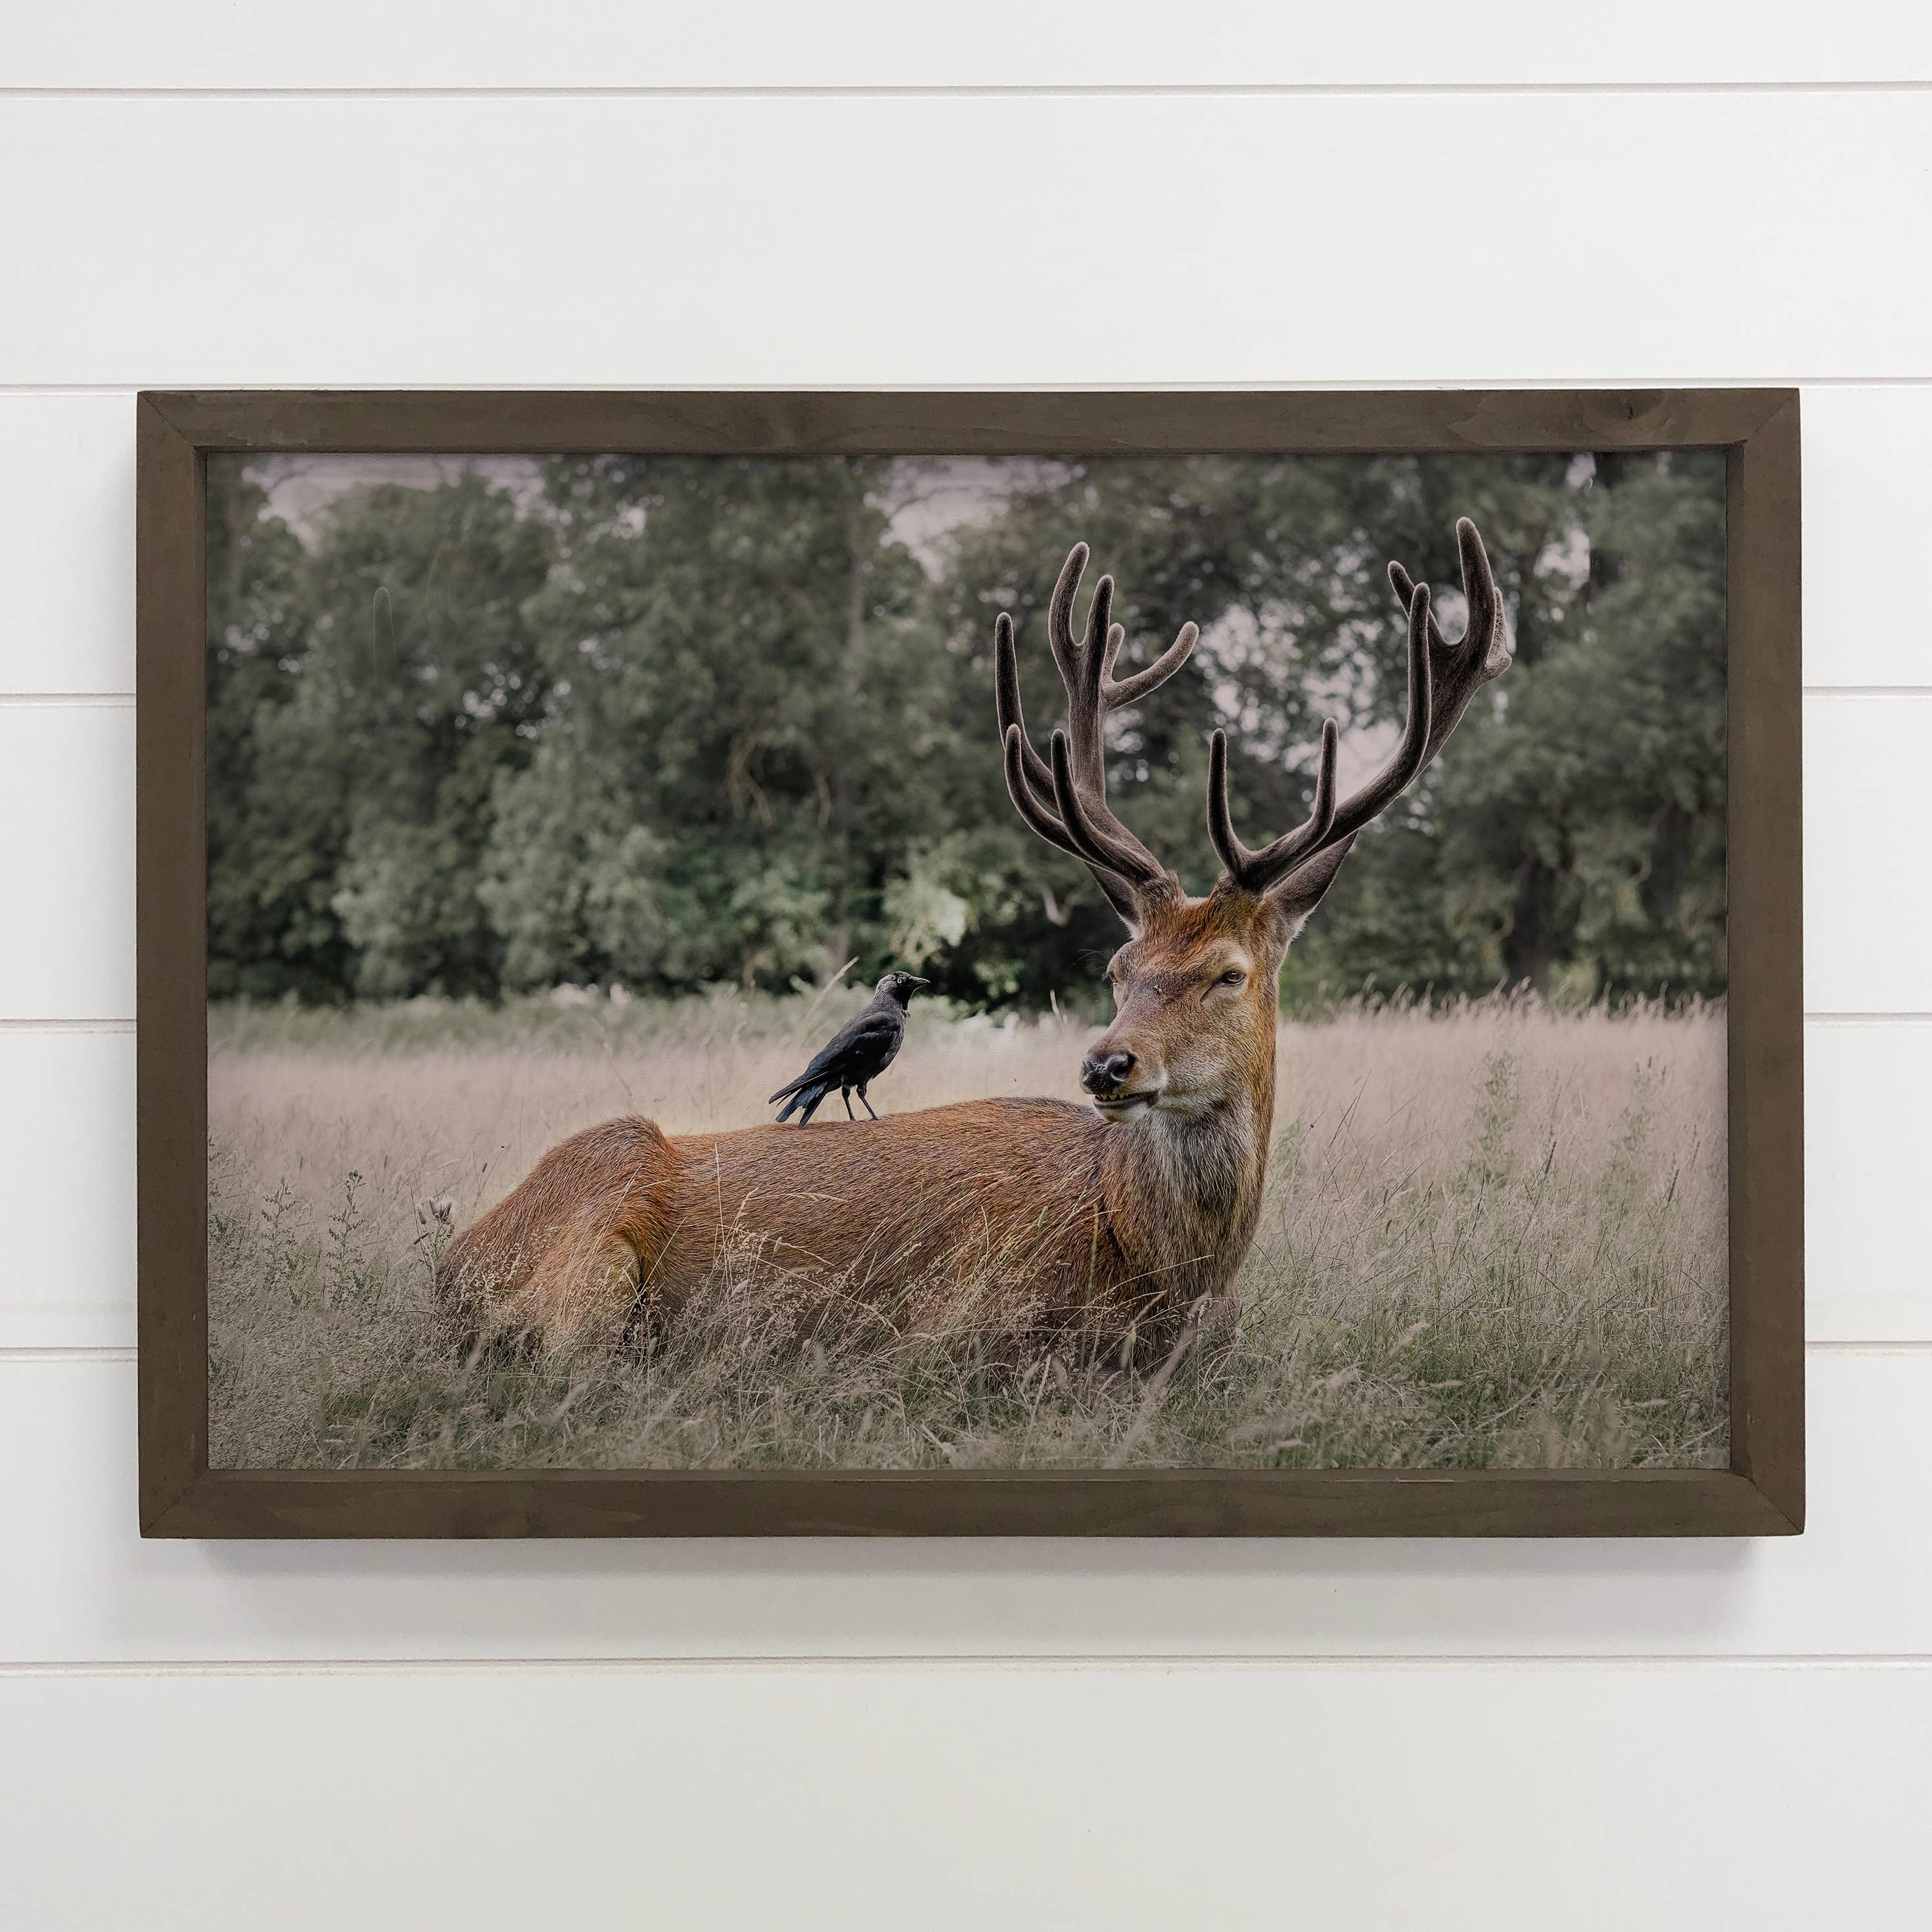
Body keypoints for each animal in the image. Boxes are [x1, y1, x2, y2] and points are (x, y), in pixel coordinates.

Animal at [435, 519, 1511, 1360]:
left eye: (1229, 974)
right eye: (1118, 967)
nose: (1109, 1064)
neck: (1165, 1272)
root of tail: (450, 1270)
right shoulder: (954, 1323)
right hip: (597, 1252)